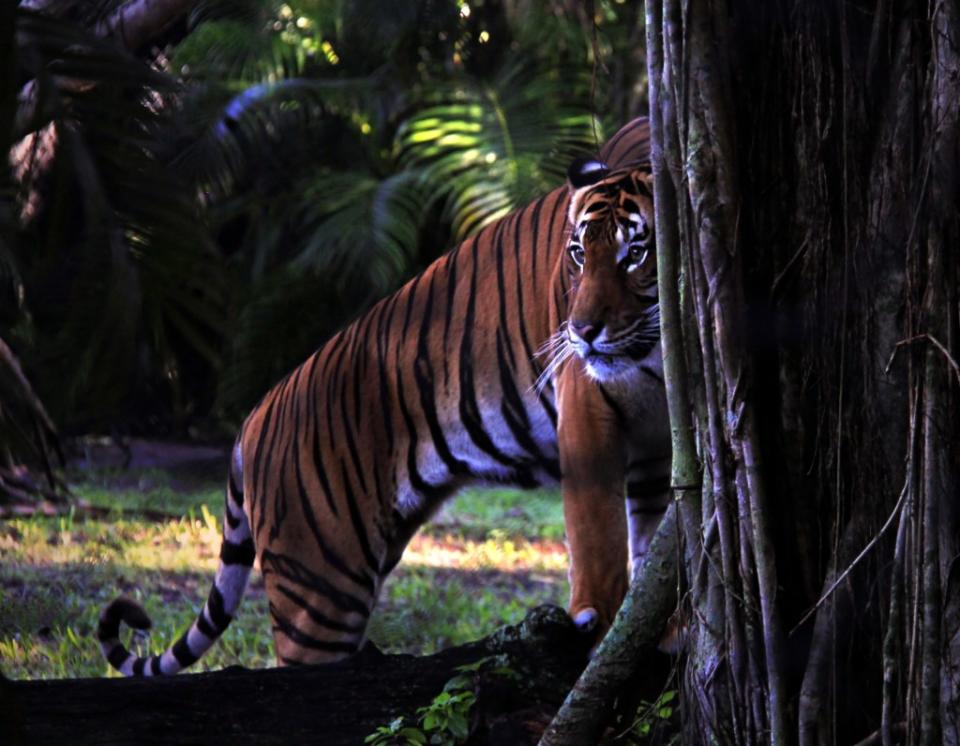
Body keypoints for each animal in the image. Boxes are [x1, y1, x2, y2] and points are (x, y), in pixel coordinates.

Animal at [95, 116, 668, 676]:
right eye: (578, 254)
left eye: (635, 254)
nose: (582, 331)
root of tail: (253, 419)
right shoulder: (589, 407)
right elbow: (597, 533)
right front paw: (601, 631)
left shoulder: (655, 445)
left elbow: (651, 540)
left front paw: (662, 635)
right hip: (320, 586)